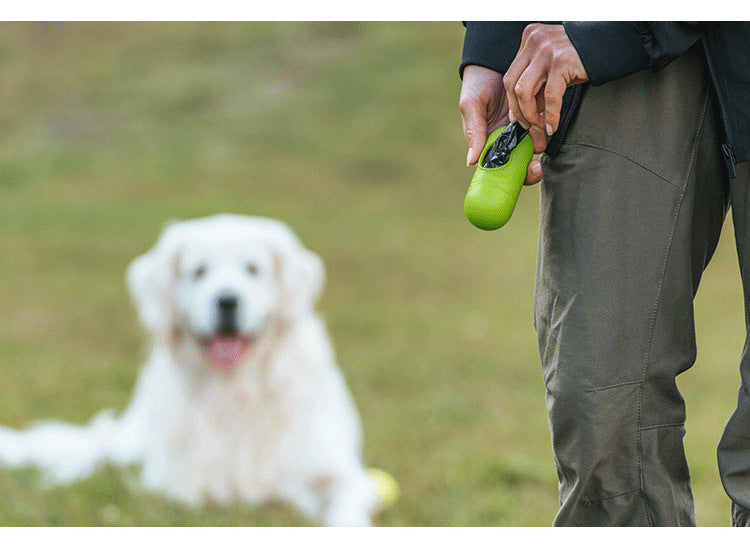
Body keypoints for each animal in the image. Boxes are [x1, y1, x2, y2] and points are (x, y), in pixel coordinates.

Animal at [0, 214, 378, 528]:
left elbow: (343, 505)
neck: (234, 390)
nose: (227, 300)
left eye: (253, 269)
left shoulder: (343, 474)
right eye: (199, 272)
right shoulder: (176, 481)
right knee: (93, 453)